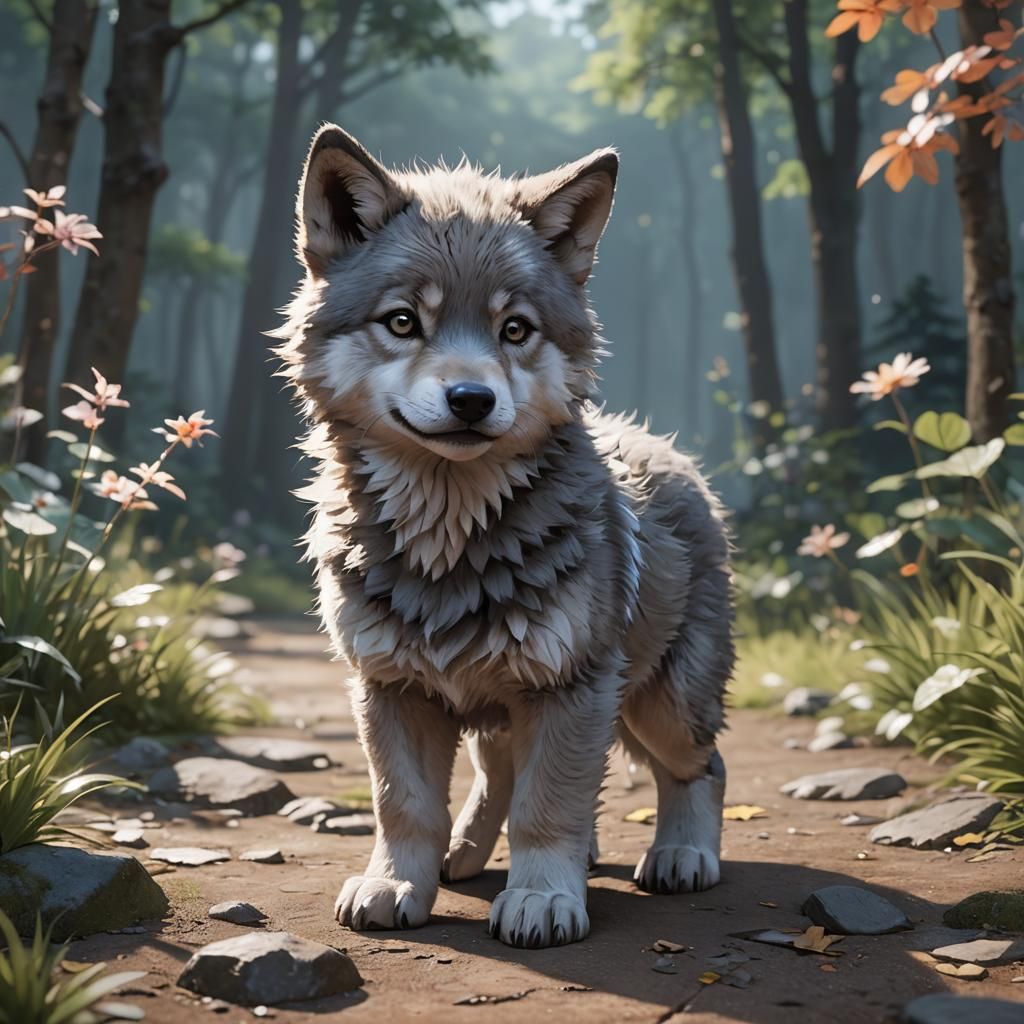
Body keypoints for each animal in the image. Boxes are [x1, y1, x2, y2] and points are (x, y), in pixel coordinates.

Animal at [275, 124, 734, 949]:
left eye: (513, 329)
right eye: (403, 321)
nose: (471, 398)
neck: (449, 543)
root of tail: (671, 452)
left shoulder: (571, 687)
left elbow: (547, 809)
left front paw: (543, 899)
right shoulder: (387, 687)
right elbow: (404, 806)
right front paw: (396, 883)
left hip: (663, 708)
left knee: (698, 769)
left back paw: (682, 856)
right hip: (509, 709)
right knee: (498, 778)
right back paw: (466, 854)